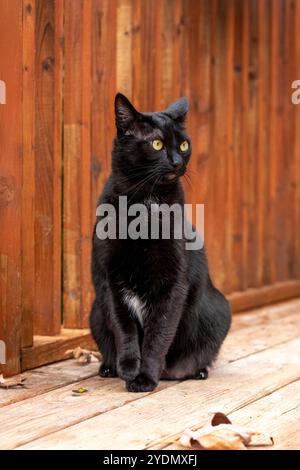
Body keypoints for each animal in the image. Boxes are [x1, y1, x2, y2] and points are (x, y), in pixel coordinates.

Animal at [89, 92, 232, 392]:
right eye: (156, 144)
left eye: (184, 144)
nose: (178, 161)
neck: (145, 203)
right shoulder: (111, 278)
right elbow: (125, 329)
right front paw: (129, 369)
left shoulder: (173, 282)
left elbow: (158, 335)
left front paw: (145, 378)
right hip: (95, 312)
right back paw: (108, 367)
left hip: (219, 311)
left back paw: (196, 371)